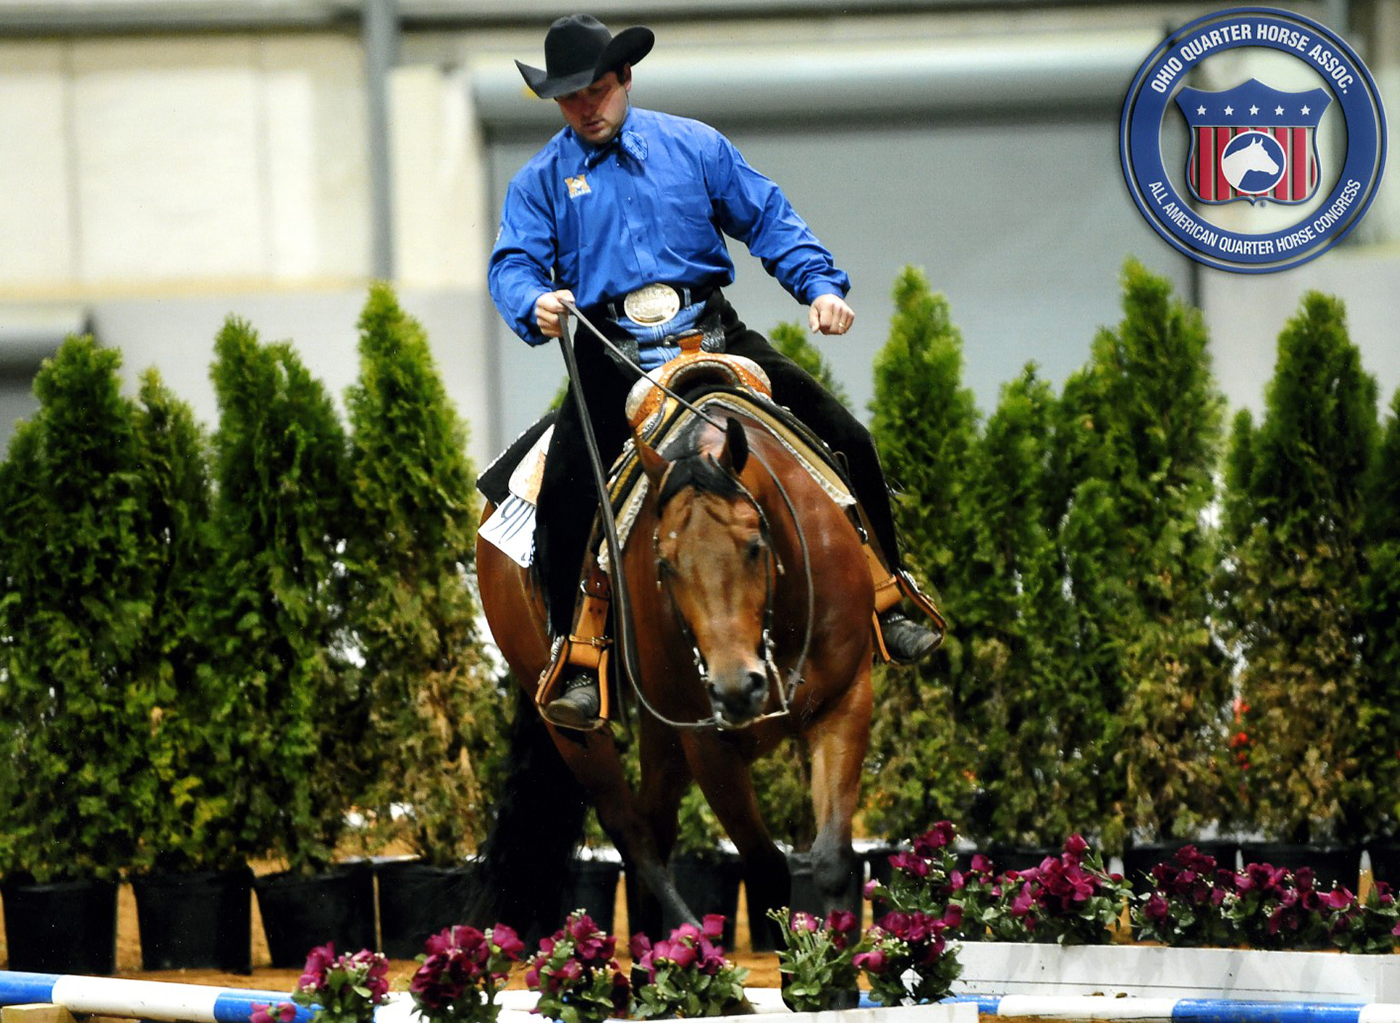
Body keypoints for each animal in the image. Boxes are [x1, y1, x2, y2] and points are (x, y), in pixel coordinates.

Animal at [478, 377, 873, 946]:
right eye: (663, 564)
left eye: (755, 545)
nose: (737, 689)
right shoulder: (706, 742)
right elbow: (767, 866)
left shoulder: (845, 700)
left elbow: (833, 861)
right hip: (569, 724)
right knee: (631, 831)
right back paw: (684, 941)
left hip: (661, 734)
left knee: (655, 822)